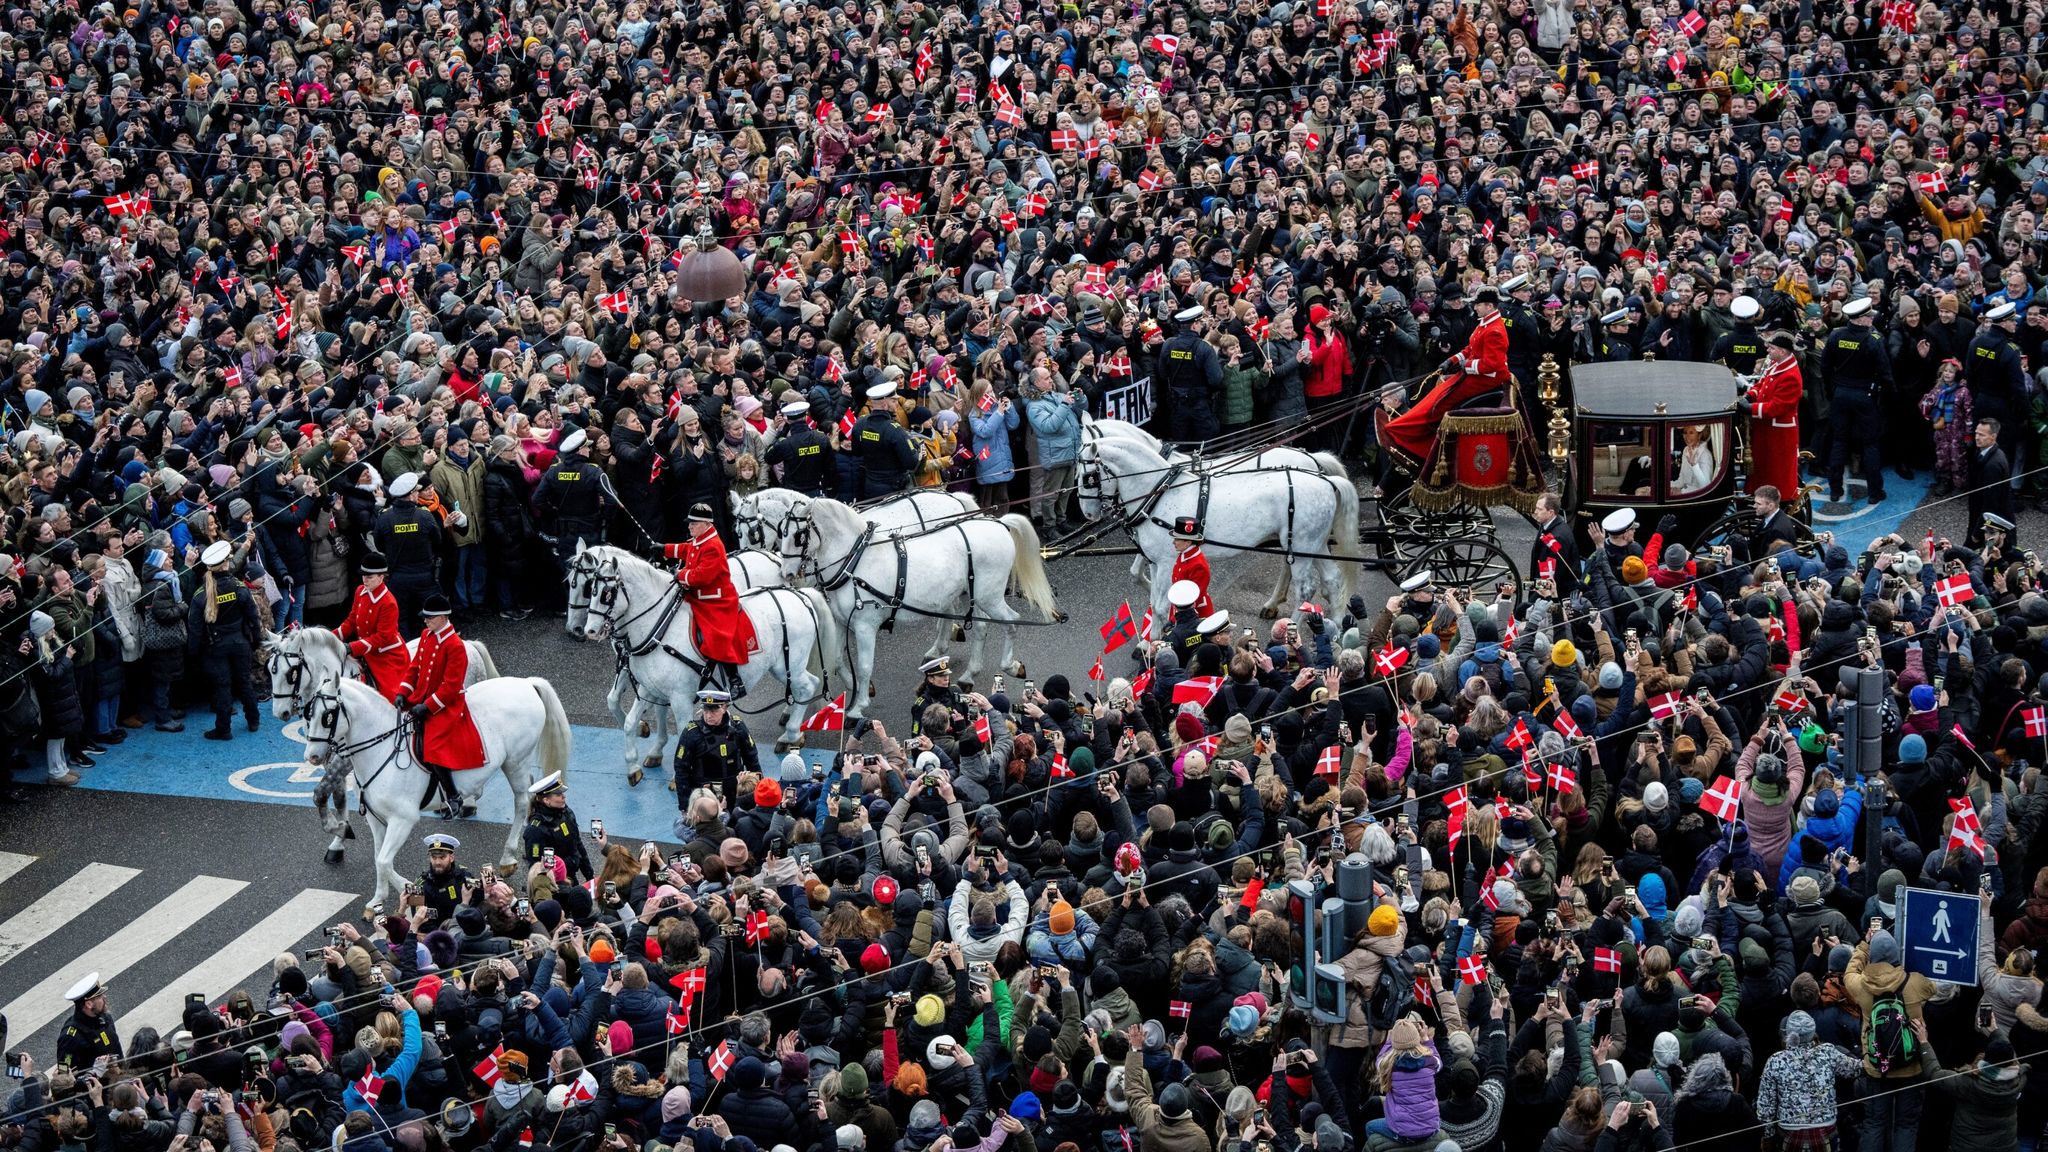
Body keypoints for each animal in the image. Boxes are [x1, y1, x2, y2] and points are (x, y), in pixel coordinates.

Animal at [266, 623, 501, 856]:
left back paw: (467, 801)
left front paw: (340, 830)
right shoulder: (329, 756)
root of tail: (466, 643)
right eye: (269, 669)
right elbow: (338, 796)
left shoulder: (346, 758)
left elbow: (321, 793)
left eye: (291, 673)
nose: (280, 712)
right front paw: (339, 839)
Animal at [296, 672, 573, 914]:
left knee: (521, 801)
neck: (381, 749)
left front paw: (411, 892)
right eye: (308, 713)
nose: (312, 757)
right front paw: (378, 900)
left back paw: (508, 857)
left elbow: (384, 861)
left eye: (328, 716)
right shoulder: (376, 819)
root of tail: (525, 683)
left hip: (516, 761)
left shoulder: (403, 820)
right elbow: (379, 858)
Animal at [573, 541, 835, 750]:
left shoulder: (679, 696)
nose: (588, 630)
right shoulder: (648, 684)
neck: (661, 626)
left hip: (789, 665)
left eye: (605, 593)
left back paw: (791, 733)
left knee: (808, 686)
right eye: (589, 588)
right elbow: (628, 713)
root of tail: (800, 595)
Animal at [770, 498, 1056, 713]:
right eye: (780, 533)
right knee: (981, 628)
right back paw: (968, 674)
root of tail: (998, 523)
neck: (855, 561)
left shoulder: (864, 627)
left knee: (1011, 622)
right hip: (975, 595)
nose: (786, 573)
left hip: (991, 597)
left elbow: (864, 666)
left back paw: (1010, 665)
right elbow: (839, 660)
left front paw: (858, 706)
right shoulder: (842, 622)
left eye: (798, 535)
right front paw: (858, 689)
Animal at [1073, 432, 1359, 627]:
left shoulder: (1165, 562)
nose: (1088, 514)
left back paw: (1294, 629)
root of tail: (1325, 480)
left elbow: (1162, 607)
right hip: (1313, 545)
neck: (1160, 491)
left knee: (1305, 589)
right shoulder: (1154, 562)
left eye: (1088, 477)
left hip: (1300, 548)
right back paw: (1337, 627)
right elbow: (1154, 602)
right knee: (1332, 580)